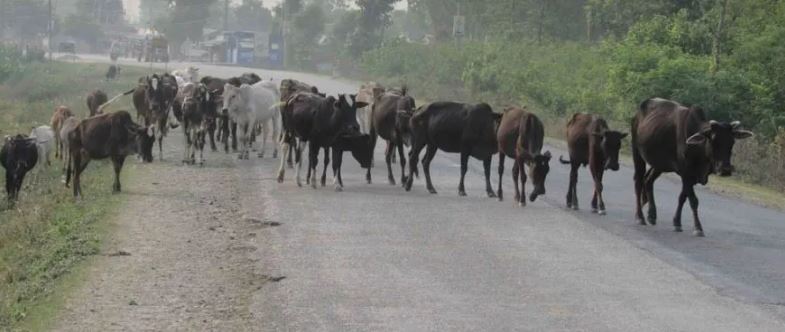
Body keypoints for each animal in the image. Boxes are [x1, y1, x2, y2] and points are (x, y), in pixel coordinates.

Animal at [628, 98, 752, 236]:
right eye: (713, 140)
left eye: (732, 141)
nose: (725, 169)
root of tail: (639, 112)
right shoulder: (686, 173)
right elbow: (693, 200)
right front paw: (698, 227)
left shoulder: (691, 177)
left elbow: (682, 197)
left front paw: (677, 222)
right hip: (637, 152)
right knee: (639, 181)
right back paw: (640, 216)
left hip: (659, 165)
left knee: (648, 181)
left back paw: (651, 214)